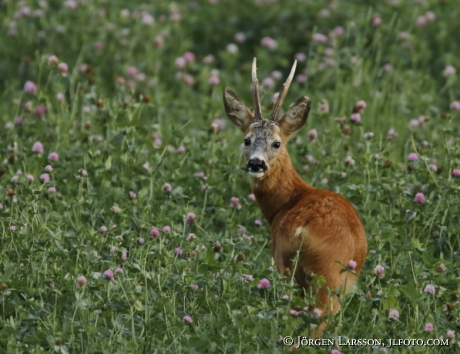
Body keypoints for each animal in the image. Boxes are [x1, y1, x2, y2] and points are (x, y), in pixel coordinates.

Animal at [223, 58, 366, 338]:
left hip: (306, 271)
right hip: (335, 281)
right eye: (247, 140)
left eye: (277, 143)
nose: (256, 163)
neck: (287, 202)